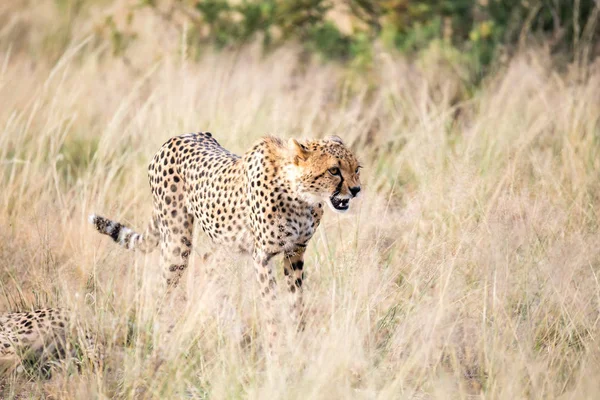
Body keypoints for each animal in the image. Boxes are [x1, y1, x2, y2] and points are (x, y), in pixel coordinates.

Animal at [89, 133, 360, 346]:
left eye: (357, 168)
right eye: (334, 170)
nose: (356, 190)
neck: (300, 196)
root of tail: (175, 138)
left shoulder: (296, 252)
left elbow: (296, 300)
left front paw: (297, 338)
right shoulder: (262, 256)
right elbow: (271, 304)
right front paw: (276, 347)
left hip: (226, 241)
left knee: (210, 263)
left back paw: (229, 326)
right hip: (178, 242)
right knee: (163, 287)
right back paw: (163, 334)